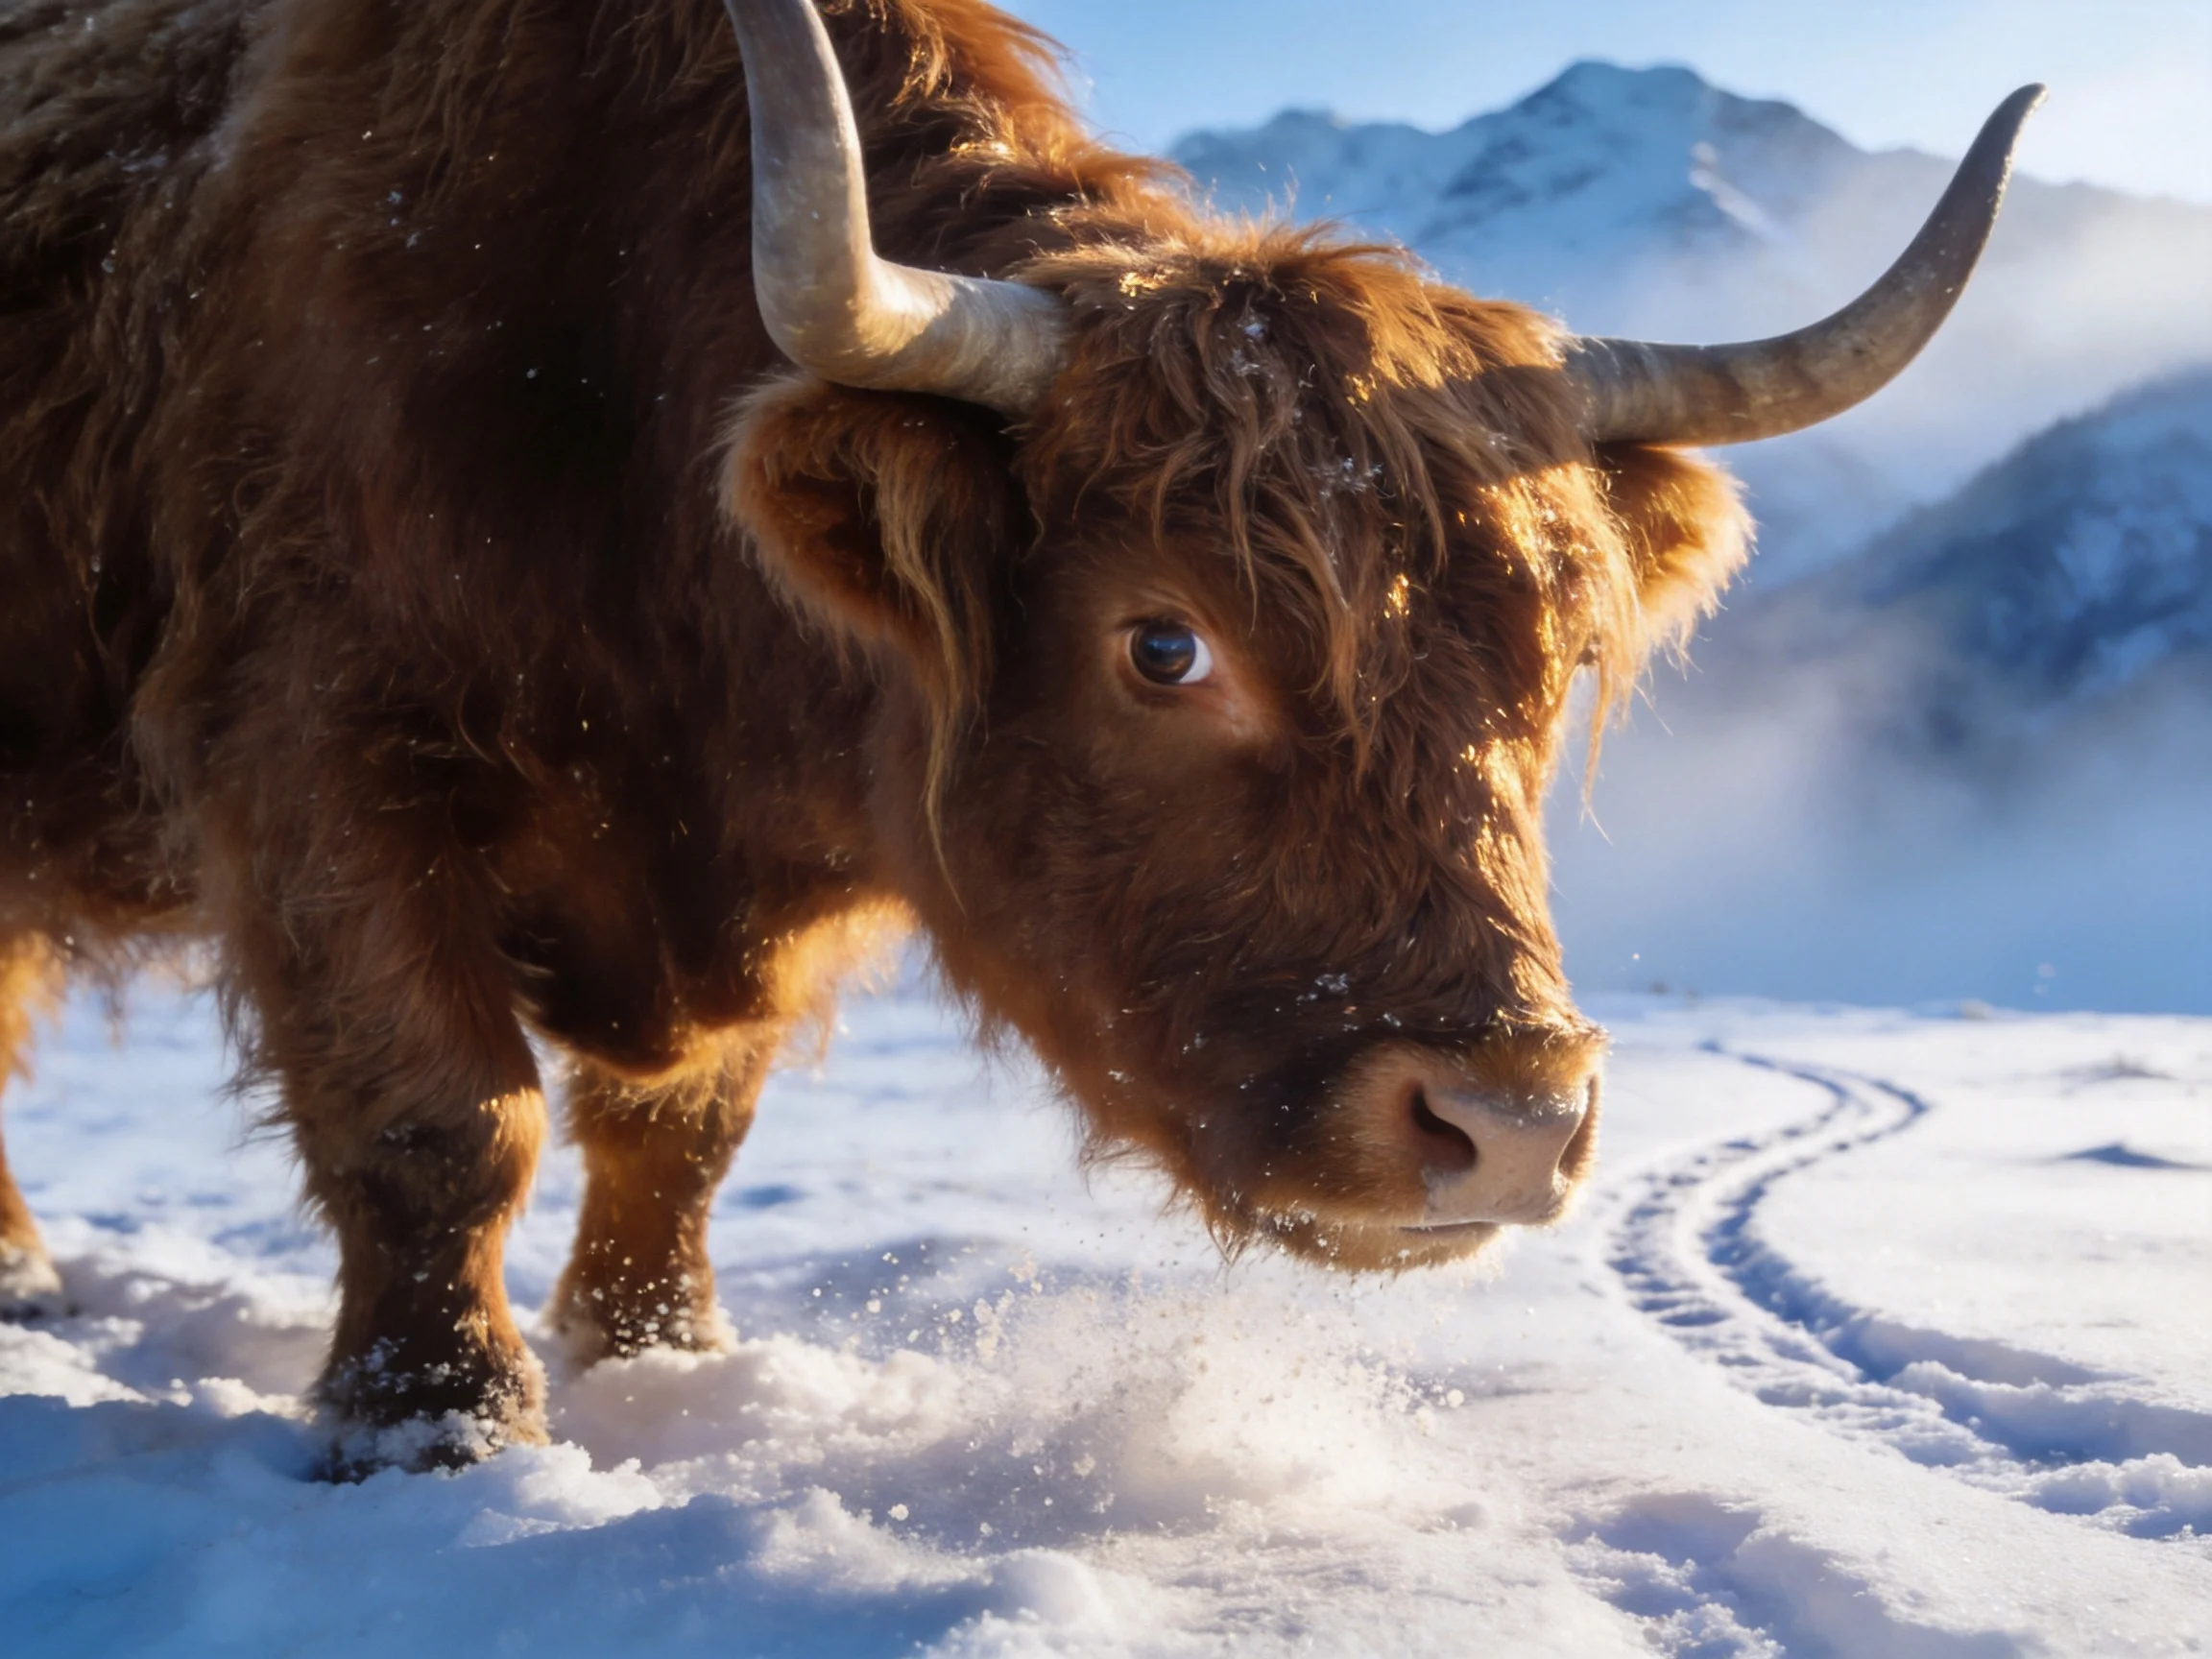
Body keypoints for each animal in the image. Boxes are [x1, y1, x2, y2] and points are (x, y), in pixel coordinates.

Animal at [0, 0, 2035, 1470]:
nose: (1510, 1122)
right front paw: (438, 1424)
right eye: (1162, 641)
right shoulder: (308, 748)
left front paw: (660, 1357)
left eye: (1544, 660)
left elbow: (681, 1129)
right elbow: (443, 1113)